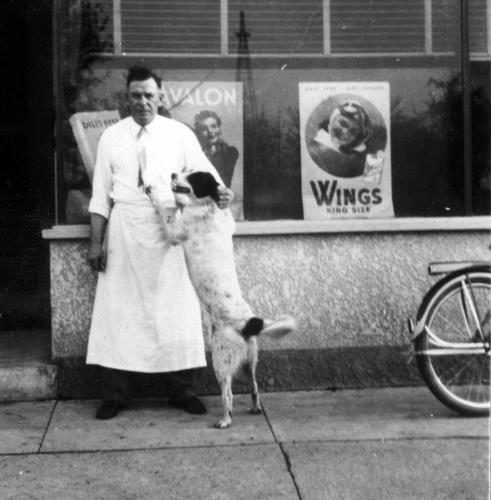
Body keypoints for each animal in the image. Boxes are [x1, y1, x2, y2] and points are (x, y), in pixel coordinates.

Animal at [145, 172, 296, 430]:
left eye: (193, 176)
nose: (173, 173)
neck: (209, 206)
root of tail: (248, 324)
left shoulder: (177, 231)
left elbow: (167, 208)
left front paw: (155, 190)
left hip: (220, 361)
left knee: (228, 395)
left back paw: (225, 420)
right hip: (249, 362)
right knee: (255, 387)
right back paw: (255, 408)